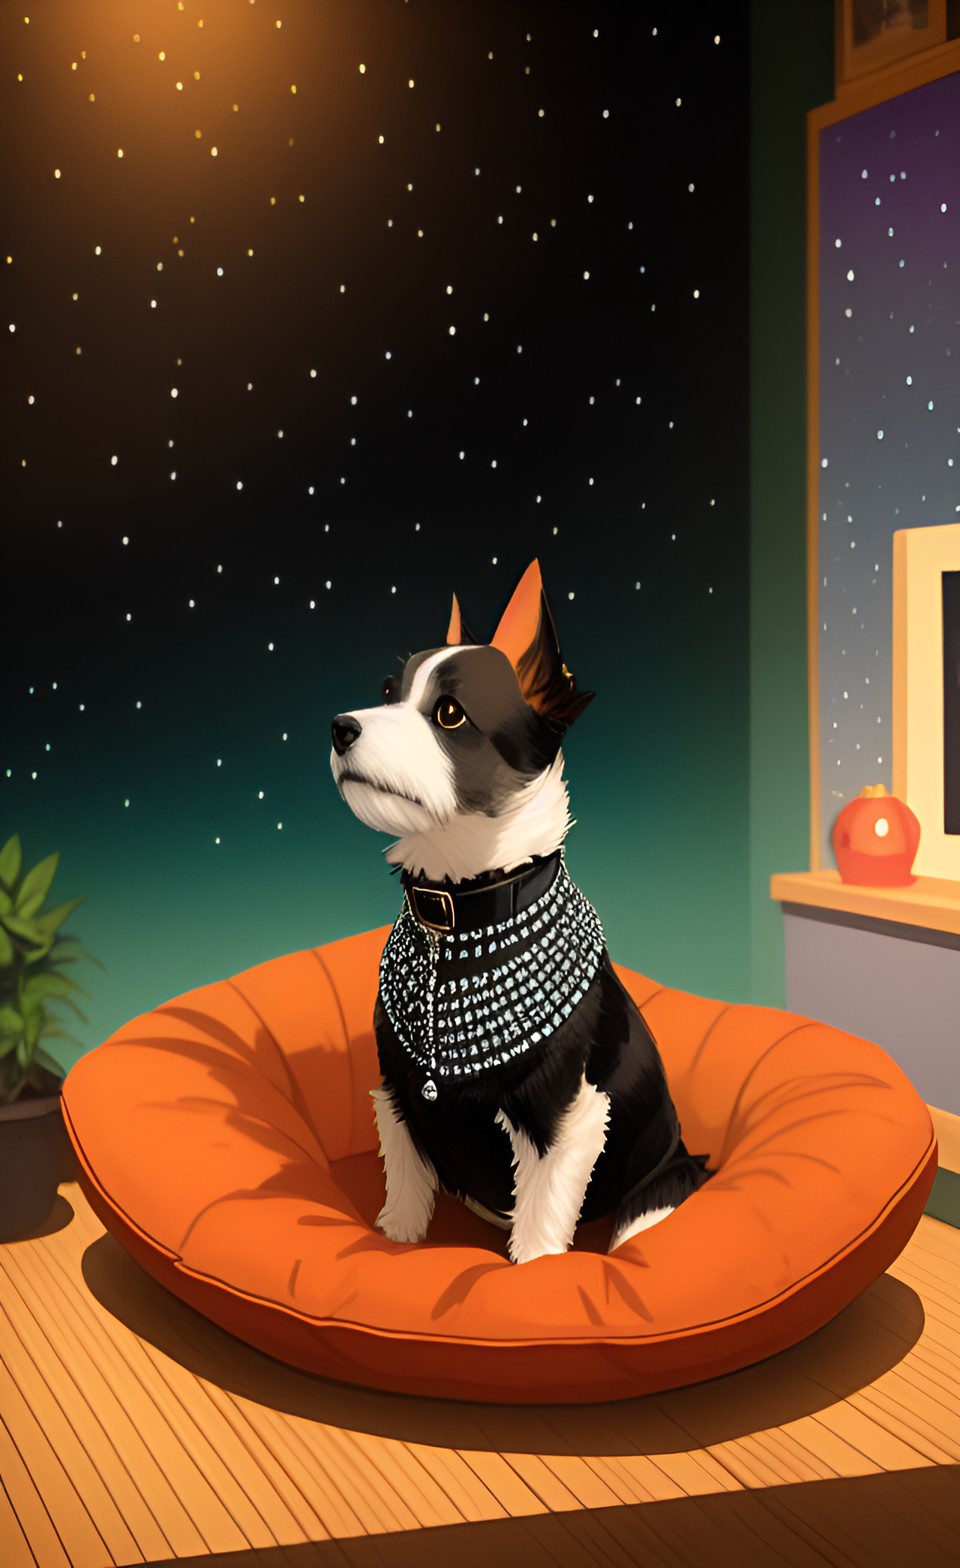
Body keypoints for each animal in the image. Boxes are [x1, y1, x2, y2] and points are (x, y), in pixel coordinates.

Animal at [334, 564, 709, 1260]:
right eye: (387, 691)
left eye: (450, 713)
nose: (340, 727)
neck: (459, 909)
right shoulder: (396, 1098)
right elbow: (405, 1196)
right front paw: (394, 1244)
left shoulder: (563, 1123)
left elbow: (538, 1232)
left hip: (655, 1193)